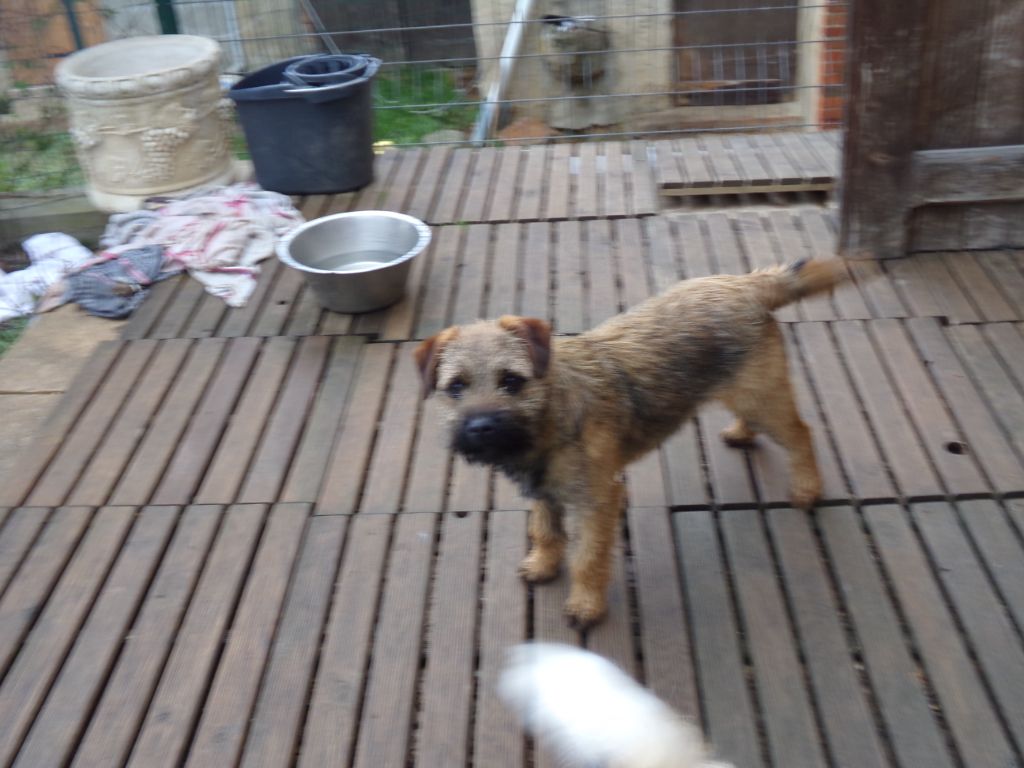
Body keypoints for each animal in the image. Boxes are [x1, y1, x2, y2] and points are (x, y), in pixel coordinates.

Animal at [414, 258, 844, 626]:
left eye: (511, 381)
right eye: (456, 387)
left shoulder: (598, 500)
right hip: (746, 394)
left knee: (802, 434)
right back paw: (741, 432)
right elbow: (546, 530)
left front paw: (586, 604)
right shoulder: (544, 492)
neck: (551, 416)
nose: (481, 426)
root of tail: (746, 283)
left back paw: (807, 487)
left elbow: (587, 556)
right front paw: (543, 564)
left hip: (762, 398)